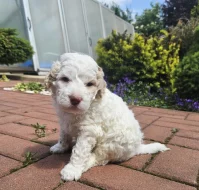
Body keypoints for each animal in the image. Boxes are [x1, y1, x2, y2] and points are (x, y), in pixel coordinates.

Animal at [45, 53, 169, 181]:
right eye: (65, 79)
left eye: (90, 84)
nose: (75, 99)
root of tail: (136, 148)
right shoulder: (64, 121)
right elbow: (64, 135)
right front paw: (60, 147)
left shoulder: (89, 131)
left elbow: (80, 151)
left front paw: (72, 170)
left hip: (110, 145)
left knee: (99, 158)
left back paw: (85, 164)